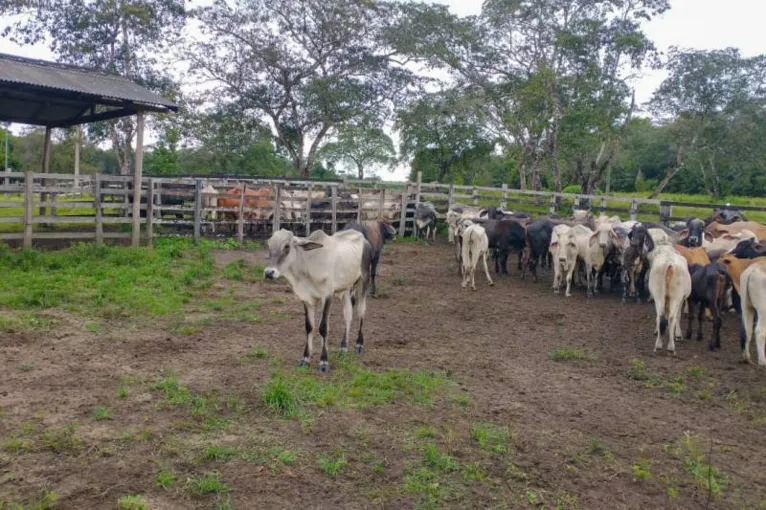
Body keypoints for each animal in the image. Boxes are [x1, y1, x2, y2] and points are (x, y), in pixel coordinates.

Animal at [266, 230, 374, 370]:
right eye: (269, 245)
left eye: (286, 246)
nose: (269, 273)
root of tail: (362, 237)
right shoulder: (307, 299)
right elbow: (309, 327)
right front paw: (305, 359)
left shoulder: (327, 296)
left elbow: (323, 328)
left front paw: (324, 361)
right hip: (346, 288)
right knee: (348, 314)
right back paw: (343, 348)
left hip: (364, 280)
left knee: (361, 311)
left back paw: (359, 344)